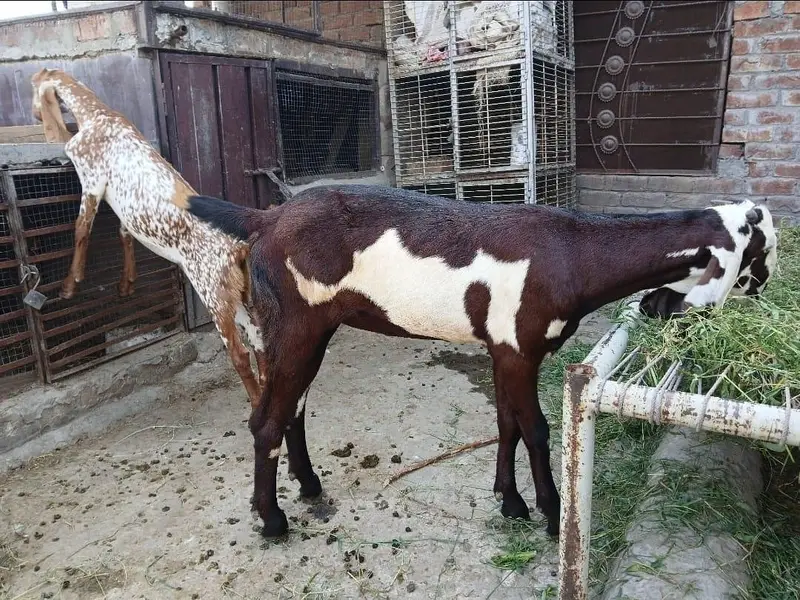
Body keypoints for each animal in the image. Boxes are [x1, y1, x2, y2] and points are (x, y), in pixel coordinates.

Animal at [30, 68, 268, 406]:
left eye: (32, 88)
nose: (35, 114)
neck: (98, 115)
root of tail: (238, 248)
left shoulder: (91, 178)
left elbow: (81, 228)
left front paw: (69, 285)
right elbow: (123, 232)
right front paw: (126, 285)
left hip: (211, 289)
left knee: (239, 352)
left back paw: (257, 403)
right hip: (238, 291)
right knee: (259, 339)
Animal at [184, 184, 777, 538]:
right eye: (760, 248)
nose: (765, 286)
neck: (574, 253)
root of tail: (264, 218)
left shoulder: (504, 349)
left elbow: (506, 423)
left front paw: (510, 502)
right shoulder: (519, 349)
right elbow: (535, 429)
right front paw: (552, 515)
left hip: (309, 330)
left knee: (294, 407)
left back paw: (308, 483)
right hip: (294, 327)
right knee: (266, 419)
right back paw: (272, 519)